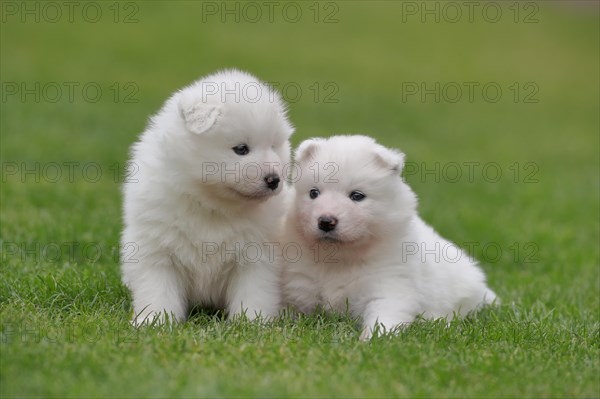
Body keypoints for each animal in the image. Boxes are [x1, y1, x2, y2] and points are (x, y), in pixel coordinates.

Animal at [120, 69, 294, 324]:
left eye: (273, 146)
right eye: (241, 149)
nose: (274, 180)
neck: (211, 203)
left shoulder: (256, 254)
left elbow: (254, 291)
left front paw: (252, 322)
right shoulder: (157, 248)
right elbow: (158, 289)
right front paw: (154, 320)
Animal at [282, 136, 496, 340]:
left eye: (357, 196)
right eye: (313, 193)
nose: (326, 221)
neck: (339, 257)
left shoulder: (390, 285)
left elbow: (384, 317)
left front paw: (372, 340)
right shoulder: (301, 283)